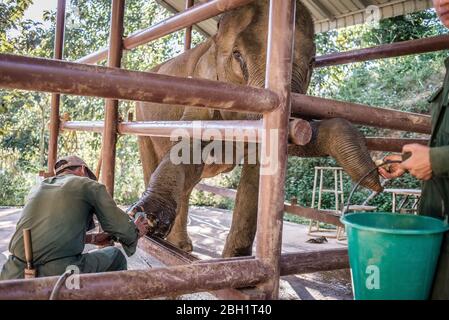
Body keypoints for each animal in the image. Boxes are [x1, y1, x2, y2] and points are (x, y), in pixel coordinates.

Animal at [130, 0, 382, 258]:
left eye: (312, 61)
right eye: (237, 55)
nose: (378, 179)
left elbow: (257, 173)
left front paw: (237, 261)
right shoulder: (201, 86)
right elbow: (188, 147)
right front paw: (147, 217)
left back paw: (181, 247)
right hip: (140, 119)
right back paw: (174, 244)